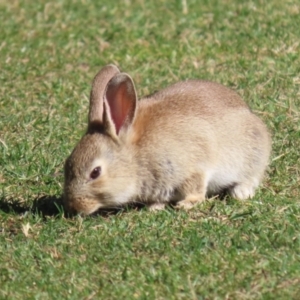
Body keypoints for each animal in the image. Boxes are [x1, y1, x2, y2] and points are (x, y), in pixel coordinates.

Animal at [63, 64, 272, 214]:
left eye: (95, 172)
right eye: (66, 164)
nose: (75, 206)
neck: (136, 156)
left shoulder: (193, 167)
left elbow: (196, 188)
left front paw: (186, 204)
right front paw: (154, 207)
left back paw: (241, 192)